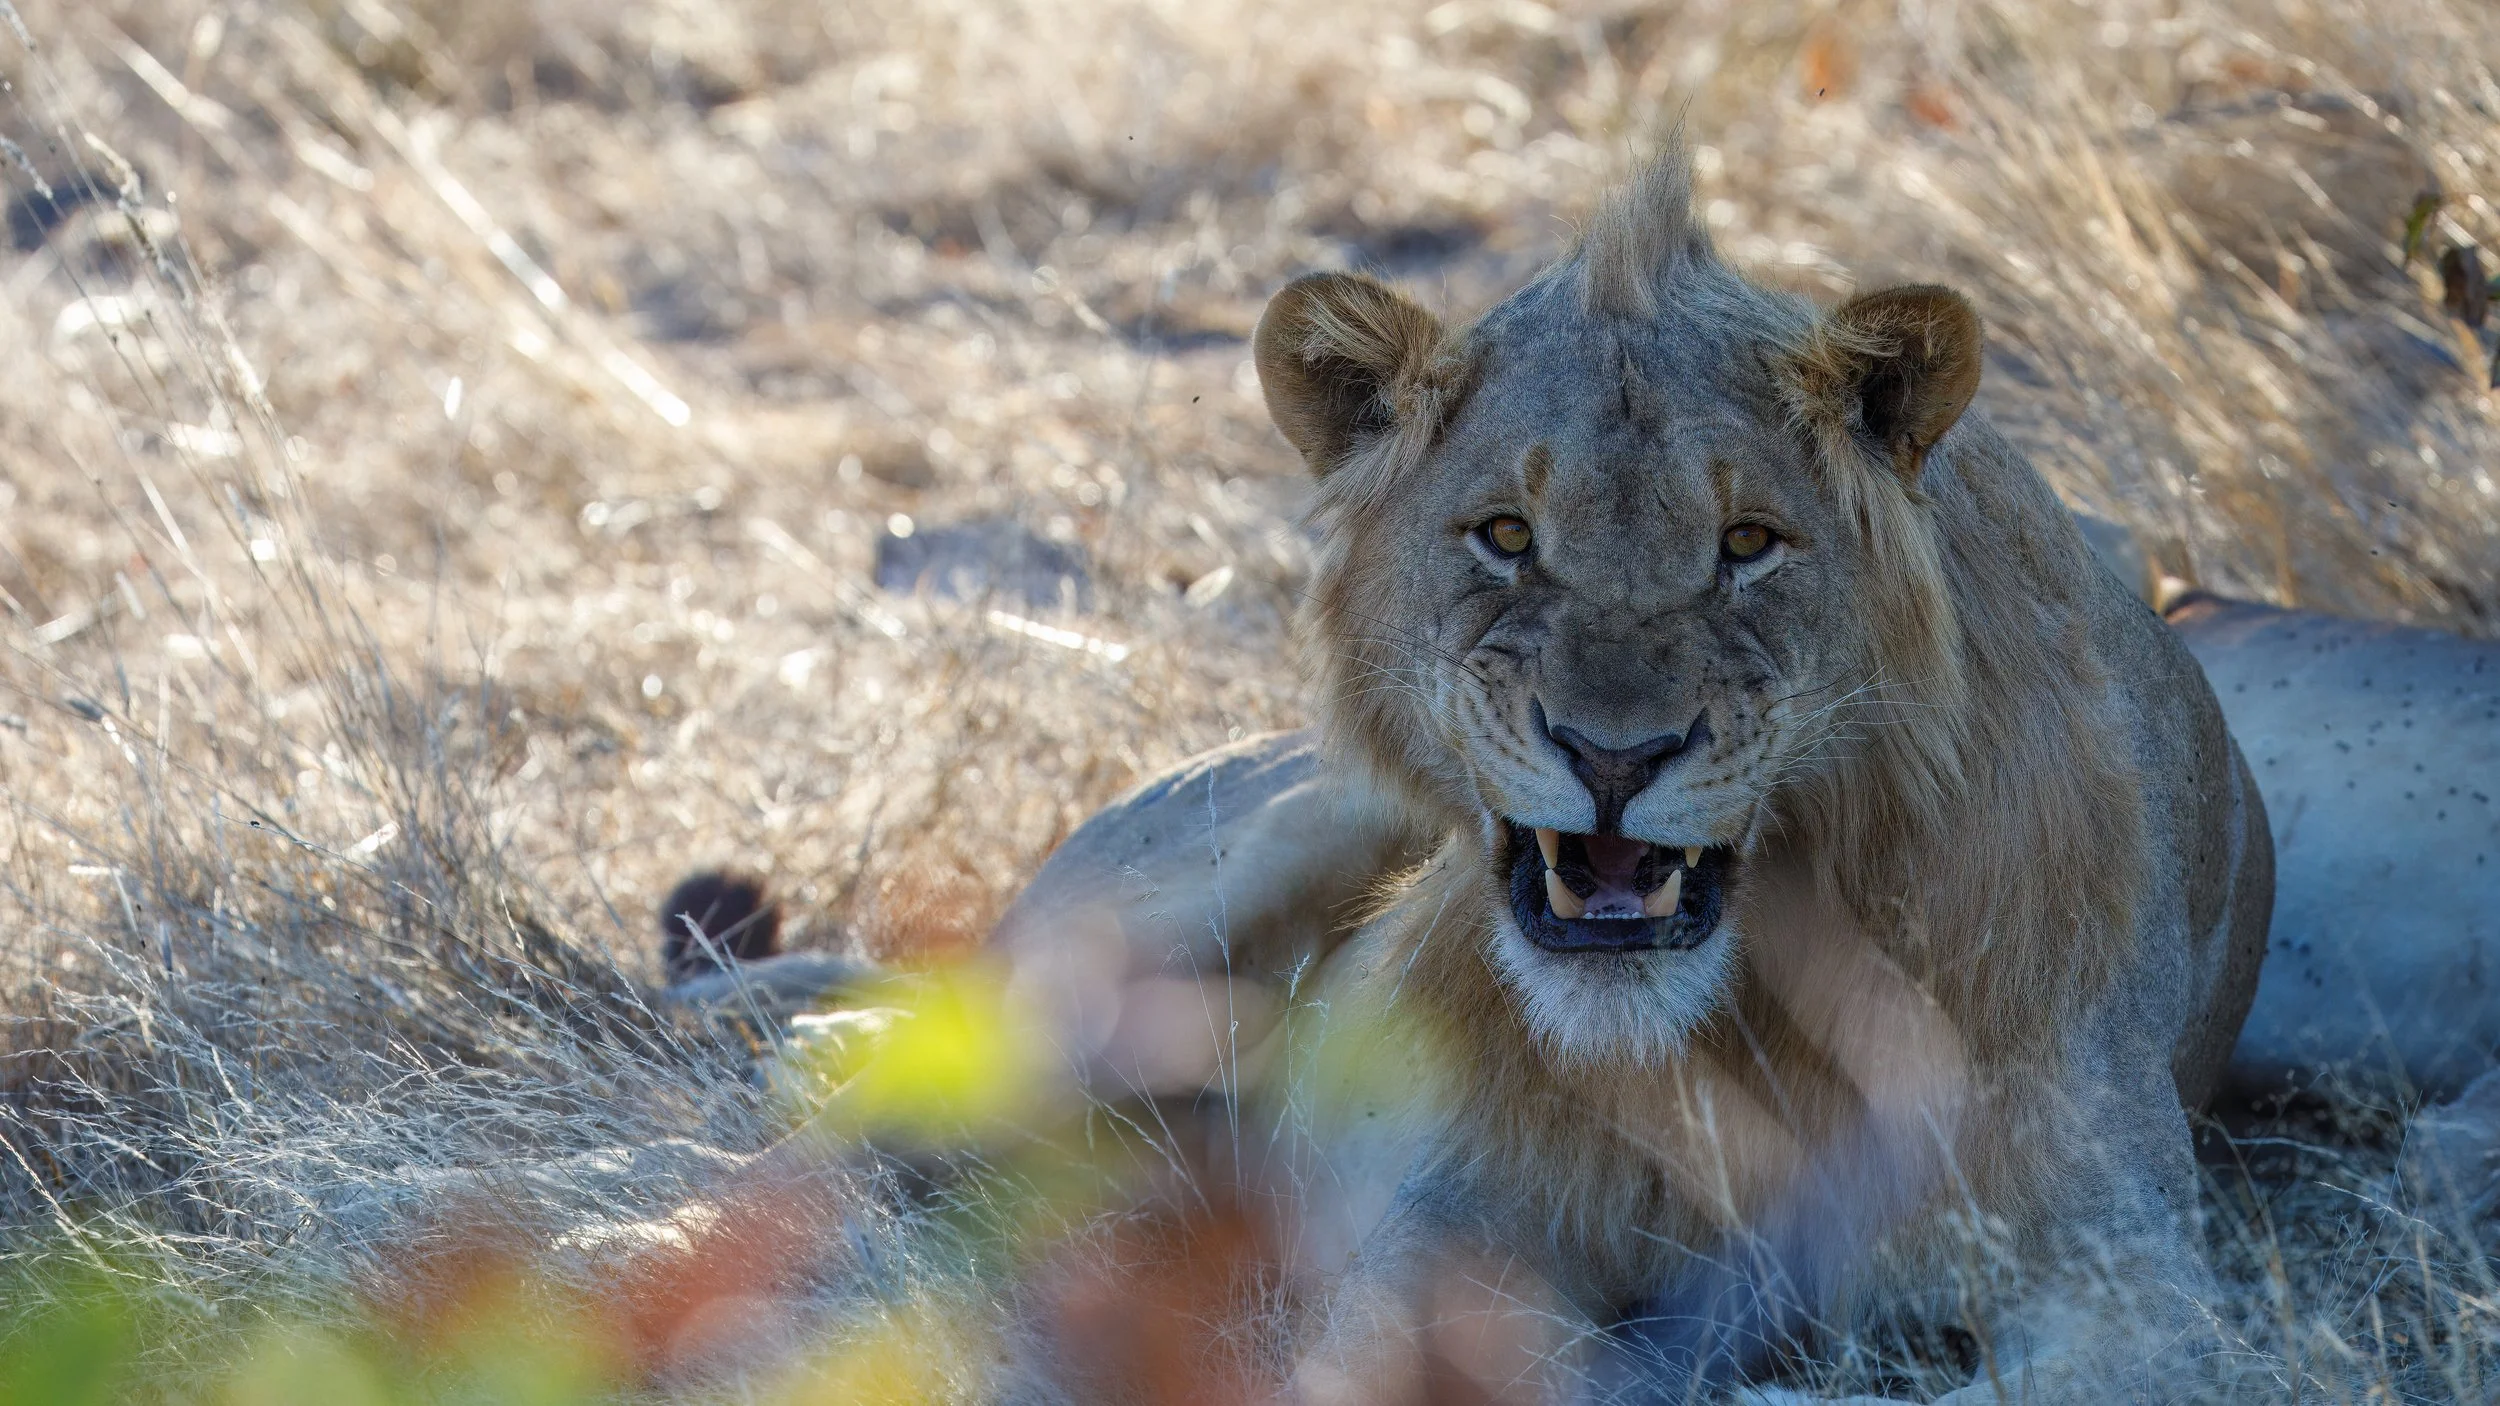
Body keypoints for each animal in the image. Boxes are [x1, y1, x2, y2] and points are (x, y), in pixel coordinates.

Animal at [991, 151, 2275, 1404]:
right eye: (1506, 535)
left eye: (1747, 542)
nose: (1612, 754)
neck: (1732, 1016)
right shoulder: (1440, 1219)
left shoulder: (2133, 1266)